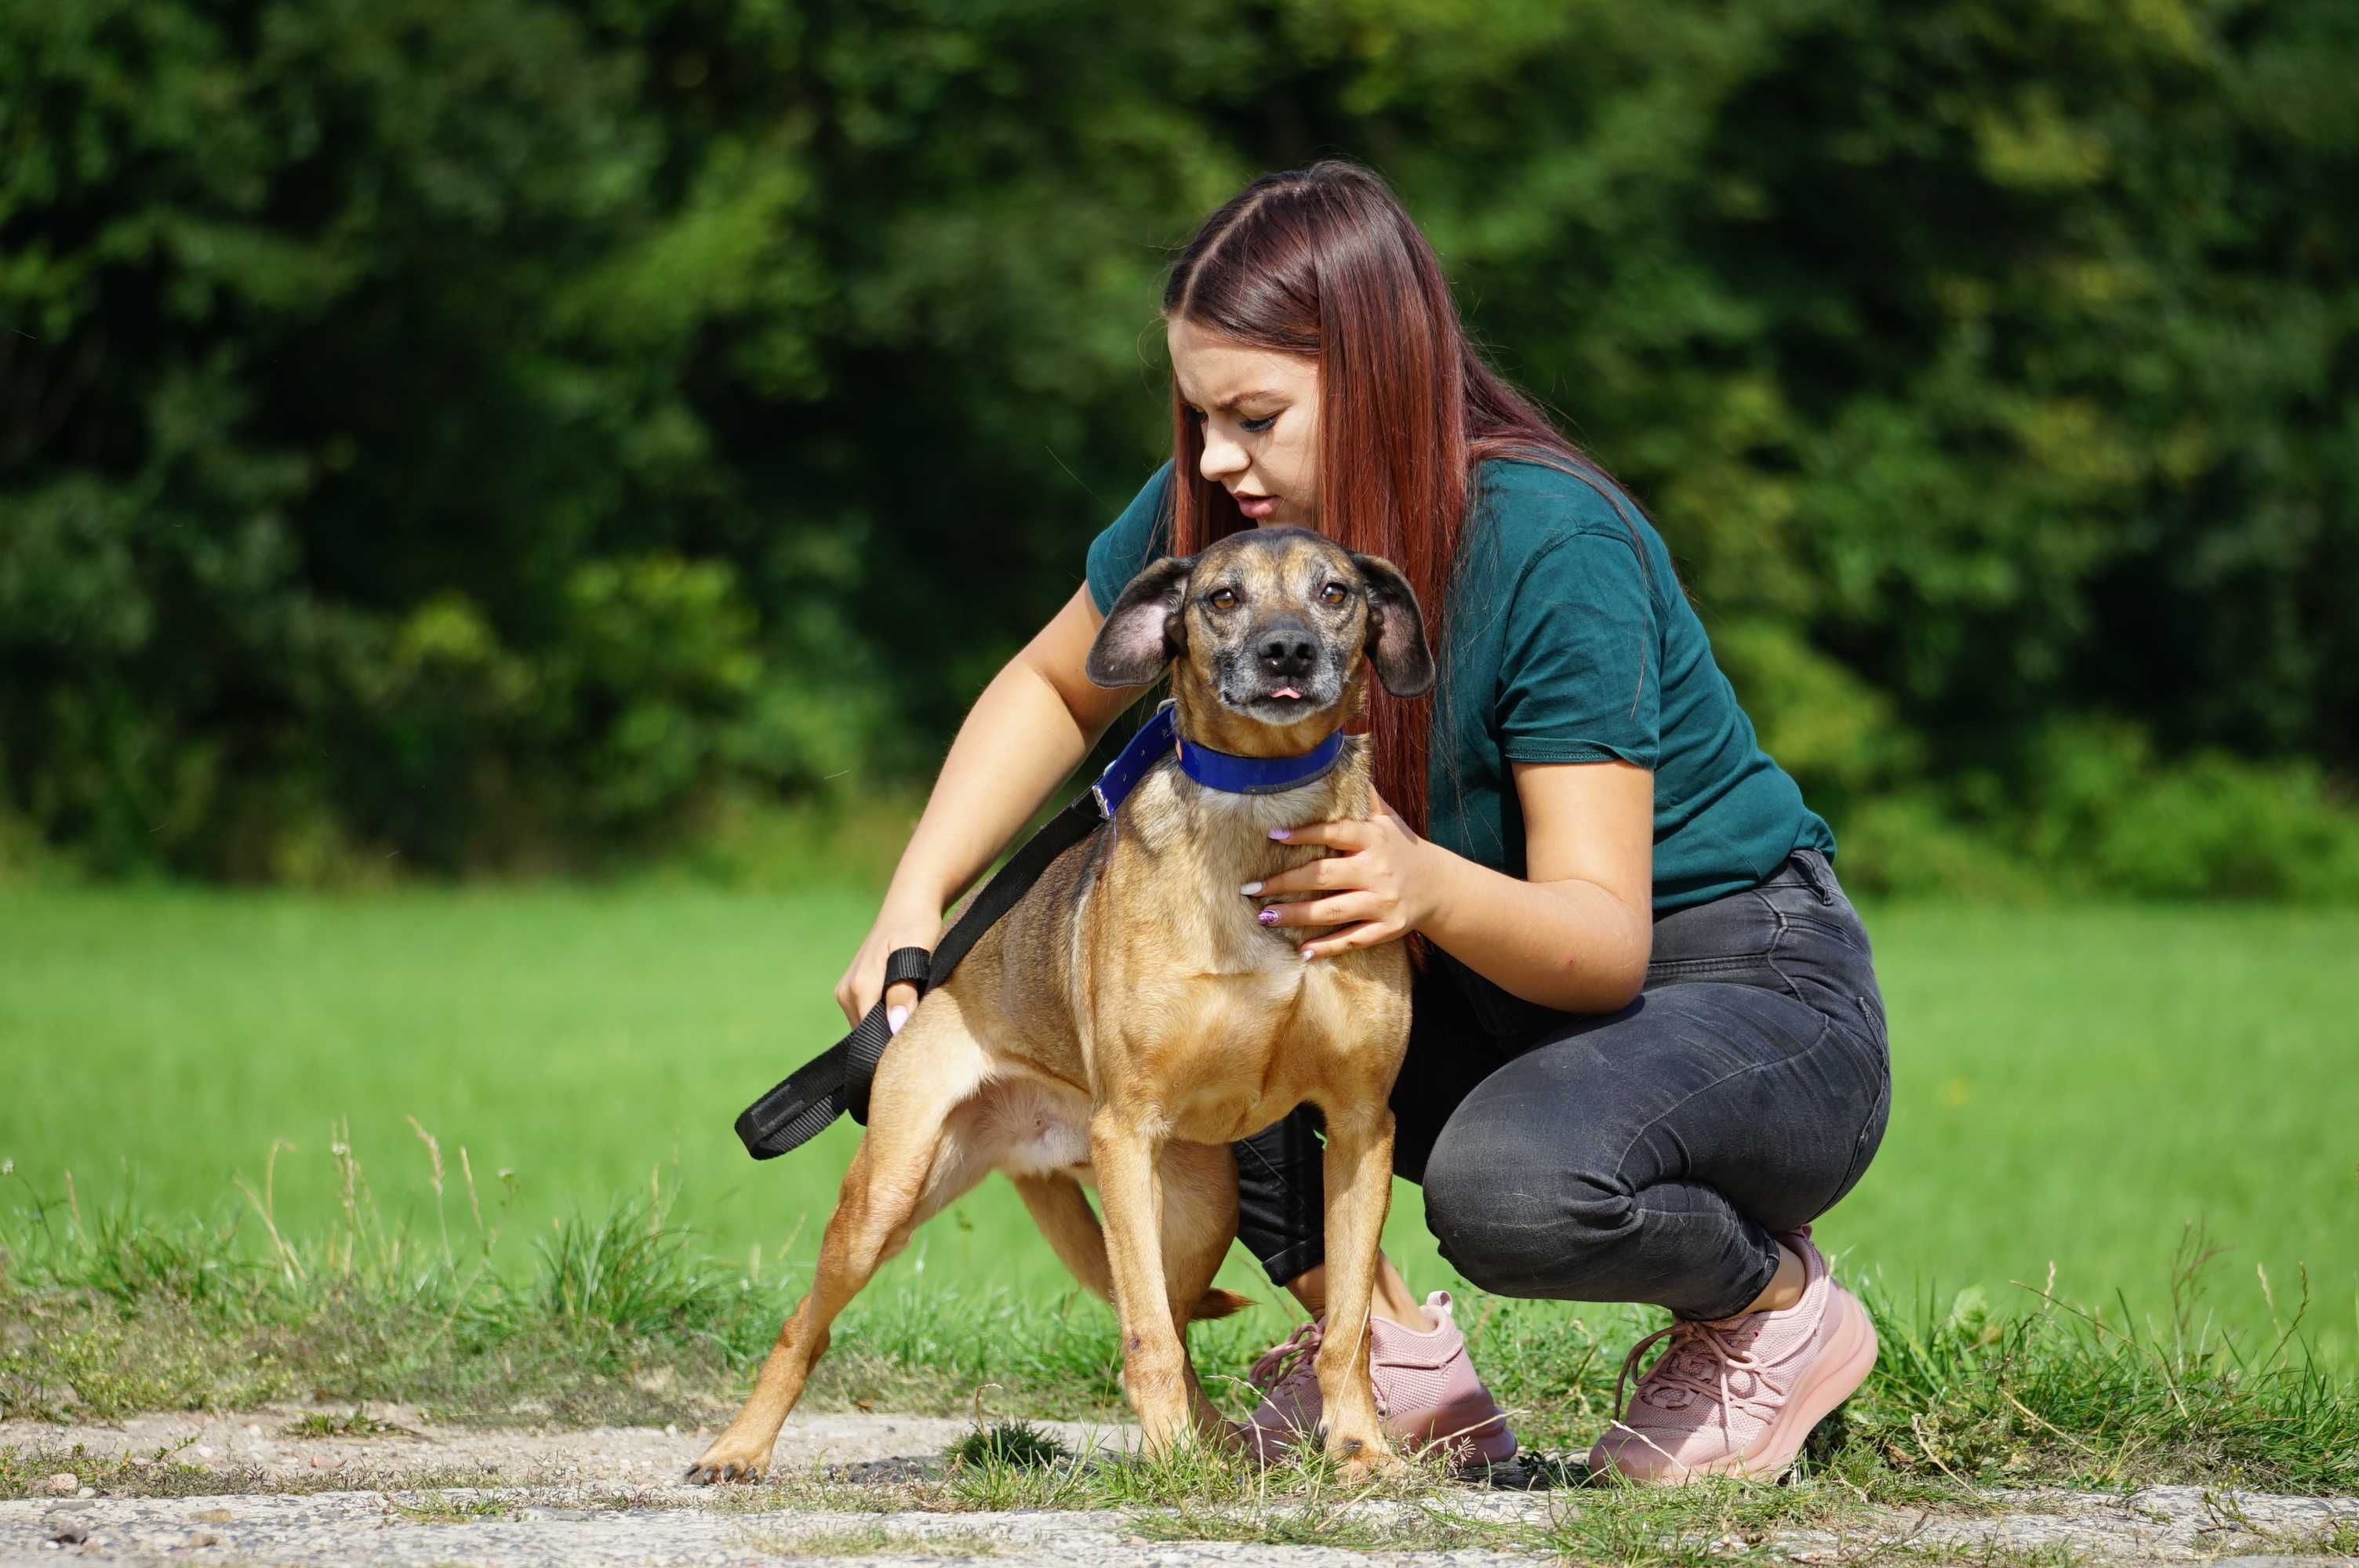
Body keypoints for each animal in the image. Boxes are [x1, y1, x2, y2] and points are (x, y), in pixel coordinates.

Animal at [674, 525, 1424, 1480]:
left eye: (1334, 592)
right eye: (1223, 597)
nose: (1286, 651)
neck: (1265, 805)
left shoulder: (1362, 1124)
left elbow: (1346, 1329)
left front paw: (1361, 1449)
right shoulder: (1127, 1127)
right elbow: (1144, 1336)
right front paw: (1172, 1463)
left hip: (1196, 1206)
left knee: (1178, 1325)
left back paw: (1214, 1447)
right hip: (891, 1194)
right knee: (806, 1326)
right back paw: (737, 1448)